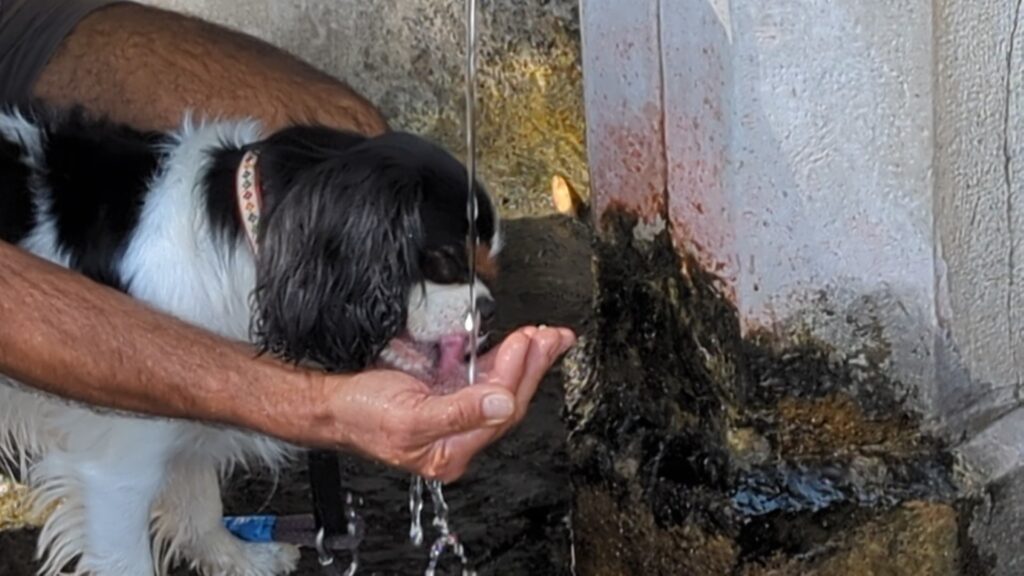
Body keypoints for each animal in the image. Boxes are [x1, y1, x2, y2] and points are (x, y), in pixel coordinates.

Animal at [0, 104, 499, 573]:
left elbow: (200, 501)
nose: (487, 312)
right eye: (447, 260)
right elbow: (129, 557)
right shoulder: (114, 468)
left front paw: (236, 558)